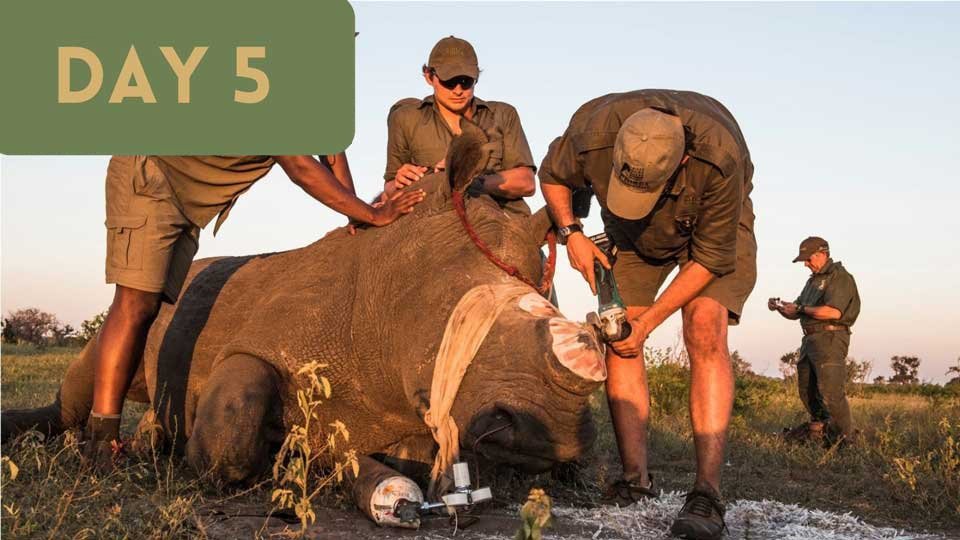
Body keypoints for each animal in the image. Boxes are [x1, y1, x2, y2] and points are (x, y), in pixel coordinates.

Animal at [1, 122, 607, 517]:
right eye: (455, 320)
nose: (554, 434)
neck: (385, 287)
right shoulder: (260, 340)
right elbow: (228, 432)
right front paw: (279, 454)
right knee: (121, 326)